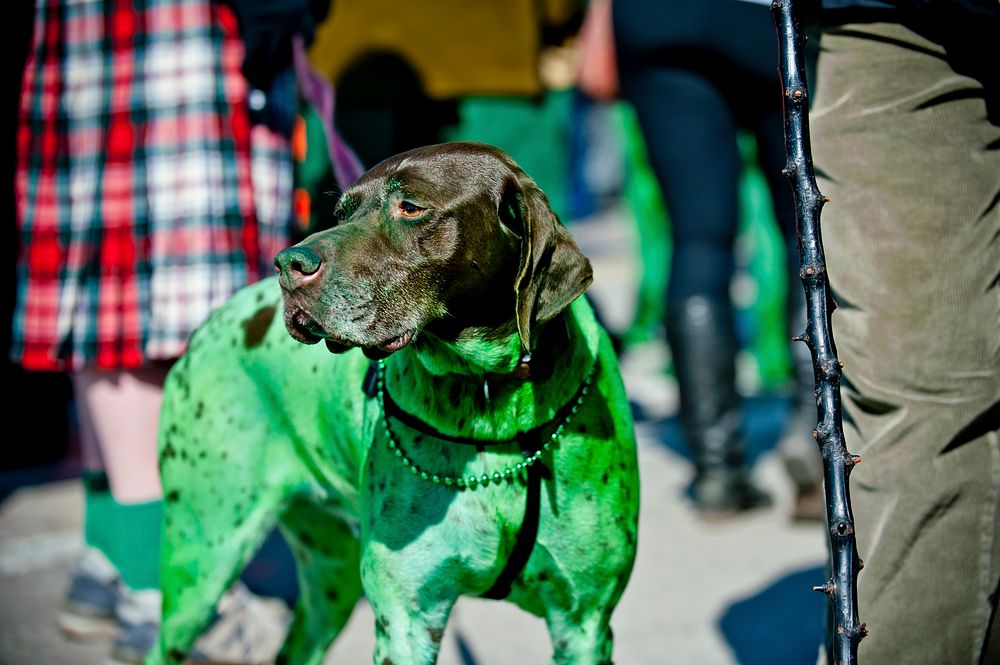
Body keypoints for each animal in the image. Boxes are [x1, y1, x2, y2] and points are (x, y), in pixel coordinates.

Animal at [154, 143, 640, 664]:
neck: (490, 399)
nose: (287, 265)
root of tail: (213, 319)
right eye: (342, 213)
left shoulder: (583, 624)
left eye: (410, 207)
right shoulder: (407, 622)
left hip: (329, 577)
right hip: (203, 561)